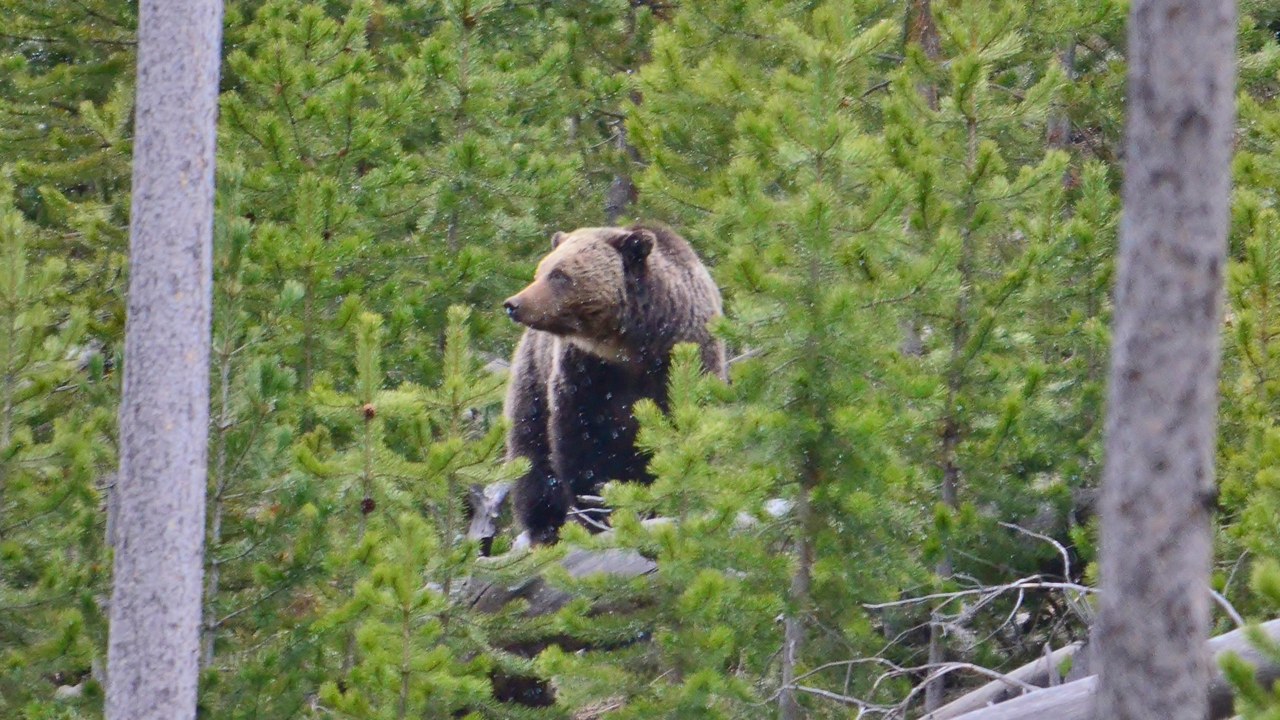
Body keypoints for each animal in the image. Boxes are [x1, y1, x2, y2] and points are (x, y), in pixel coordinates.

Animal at [502, 223, 727, 544]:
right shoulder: (584, 373)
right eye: (541, 270)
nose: (514, 304)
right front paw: (597, 512)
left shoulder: (683, 361)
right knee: (531, 456)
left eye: (559, 274)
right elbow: (581, 444)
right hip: (532, 380)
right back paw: (544, 529)